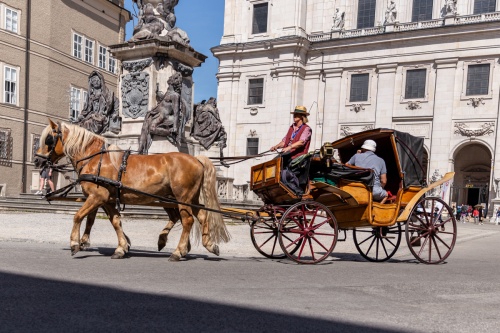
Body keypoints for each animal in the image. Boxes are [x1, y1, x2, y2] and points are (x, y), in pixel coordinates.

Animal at [34, 119, 230, 260]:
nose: (37, 160)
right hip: (189, 198)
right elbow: (115, 222)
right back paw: (207, 244)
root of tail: (197, 159)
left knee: (187, 220)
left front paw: (75, 243)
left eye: (49, 139)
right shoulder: (106, 199)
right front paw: (122, 247)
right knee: (202, 216)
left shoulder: (97, 196)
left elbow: (78, 216)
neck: (95, 159)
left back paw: (178, 251)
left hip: (182, 198)